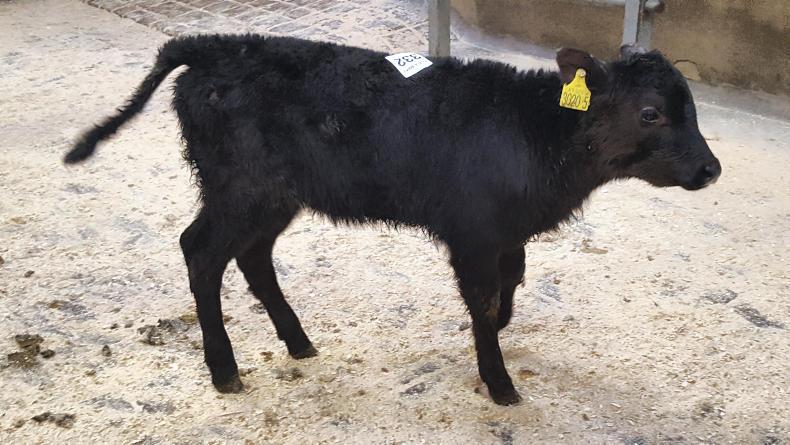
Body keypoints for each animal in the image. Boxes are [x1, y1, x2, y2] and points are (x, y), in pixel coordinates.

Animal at [64, 34, 721, 405]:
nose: (711, 169)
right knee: (201, 251)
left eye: (691, 107)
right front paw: (500, 383)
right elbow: (484, 301)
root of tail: (209, 46)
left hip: (275, 195)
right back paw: (224, 369)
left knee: (252, 257)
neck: (531, 134)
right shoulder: (473, 233)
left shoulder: (505, 234)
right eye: (651, 113)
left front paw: (501, 336)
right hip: (238, 189)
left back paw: (298, 342)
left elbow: (509, 287)